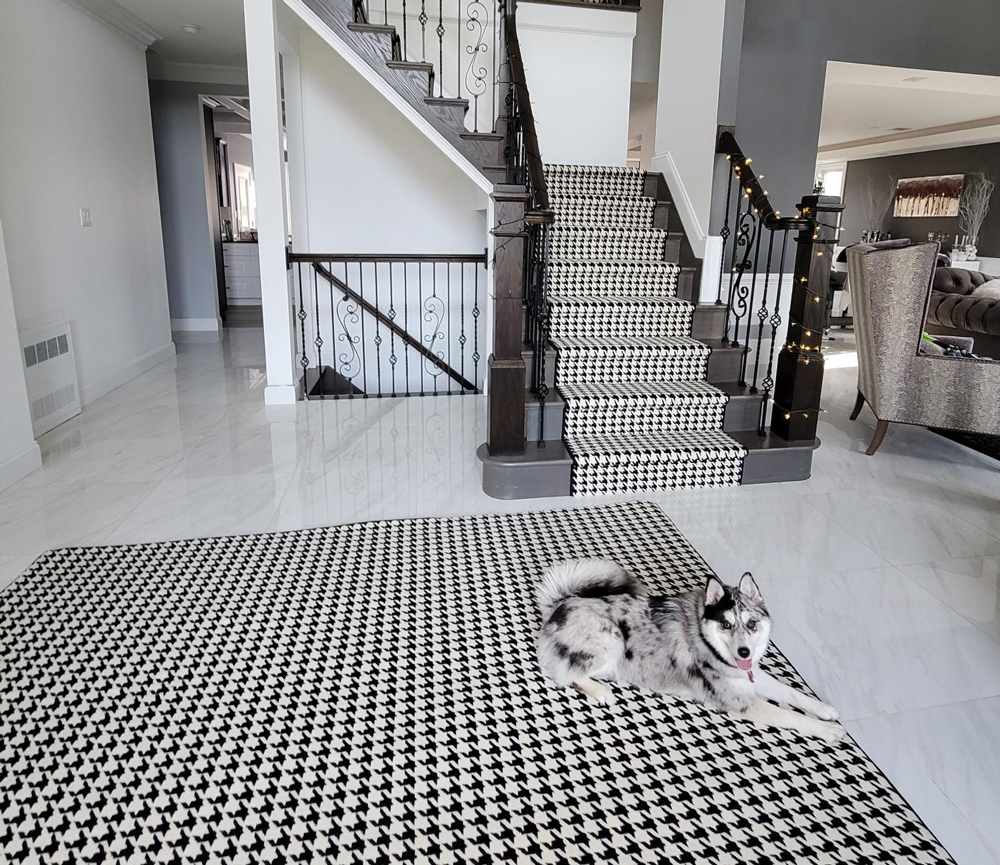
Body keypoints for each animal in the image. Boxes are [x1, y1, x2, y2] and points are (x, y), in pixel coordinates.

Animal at [536, 558, 845, 744]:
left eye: (751, 623)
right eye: (726, 624)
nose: (744, 652)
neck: (708, 642)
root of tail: (558, 605)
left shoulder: (749, 678)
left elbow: (792, 693)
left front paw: (824, 710)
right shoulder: (740, 701)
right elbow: (791, 716)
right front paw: (827, 730)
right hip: (612, 640)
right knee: (566, 674)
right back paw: (600, 691)